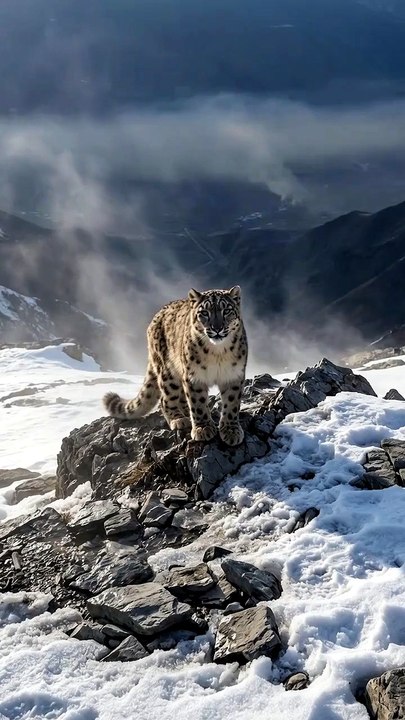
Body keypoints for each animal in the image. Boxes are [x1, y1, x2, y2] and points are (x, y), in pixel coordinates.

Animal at [103, 285, 248, 446]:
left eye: (227, 310)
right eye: (204, 312)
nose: (217, 328)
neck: (218, 353)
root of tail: (156, 316)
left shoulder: (234, 375)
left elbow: (232, 404)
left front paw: (231, 430)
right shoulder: (193, 376)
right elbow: (198, 404)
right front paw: (203, 428)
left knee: (182, 398)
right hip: (168, 372)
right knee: (165, 399)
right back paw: (178, 419)